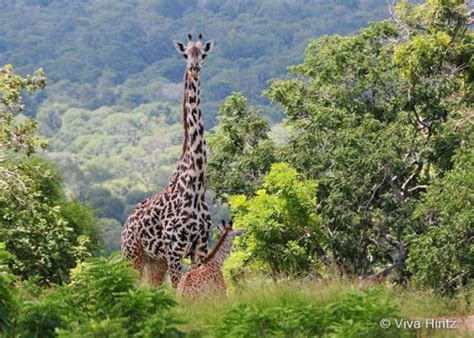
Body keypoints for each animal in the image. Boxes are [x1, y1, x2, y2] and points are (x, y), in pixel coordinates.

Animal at [121, 33, 214, 288]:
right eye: (186, 54)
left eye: (203, 53)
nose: (194, 67)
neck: (196, 186)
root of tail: (126, 223)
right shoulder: (175, 250)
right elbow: (178, 290)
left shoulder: (200, 247)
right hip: (133, 254)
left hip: (155, 262)